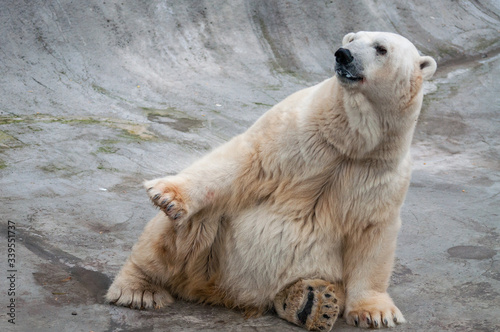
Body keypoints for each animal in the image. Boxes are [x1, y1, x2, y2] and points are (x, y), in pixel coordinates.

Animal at [106, 31, 438, 330]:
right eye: (352, 38)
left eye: (381, 48)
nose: (343, 54)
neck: (349, 143)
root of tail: (232, 294)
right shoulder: (297, 130)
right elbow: (246, 160)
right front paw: (167, 195)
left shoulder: (379, 172)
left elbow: (372, 232)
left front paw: (376, 313)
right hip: (212, 254)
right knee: (183, 230)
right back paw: (140, 290)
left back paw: (313, 302)